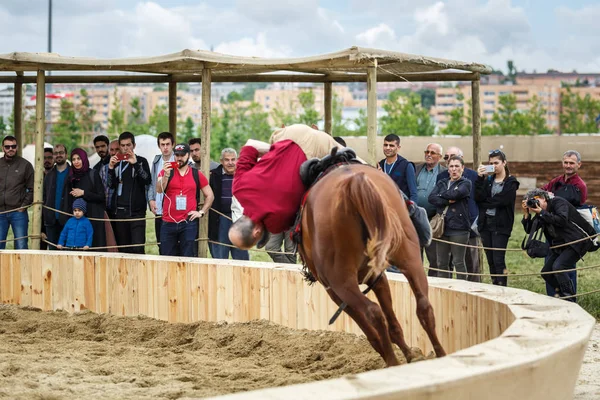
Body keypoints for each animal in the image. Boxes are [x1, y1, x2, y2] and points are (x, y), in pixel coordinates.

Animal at [296, 162, 446, 366]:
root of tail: (353, 182)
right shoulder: (378, 277)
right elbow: (394, 325)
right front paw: (410, 355)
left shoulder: (334, 292)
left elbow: (372, 334)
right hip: (411, 258)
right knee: (424, 306)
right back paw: (441, 355)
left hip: (342, 283)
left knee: (374, 313)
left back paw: (392, 362)